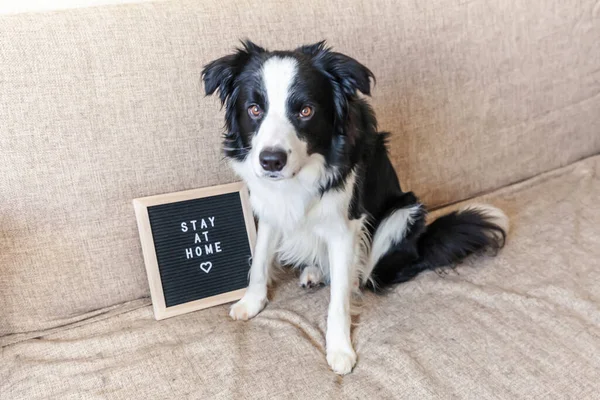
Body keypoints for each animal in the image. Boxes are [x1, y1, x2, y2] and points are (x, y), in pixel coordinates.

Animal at [202, 40, 506, 376]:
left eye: (305, 111)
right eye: (254, 109)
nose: (271, 161)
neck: (300, 177)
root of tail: (422, 246)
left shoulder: (346, 226)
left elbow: (339, 298)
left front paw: (339, 349)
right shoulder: (270, 210)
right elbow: (259, 260)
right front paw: (252, 302)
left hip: (404, 212)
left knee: (367, 273)